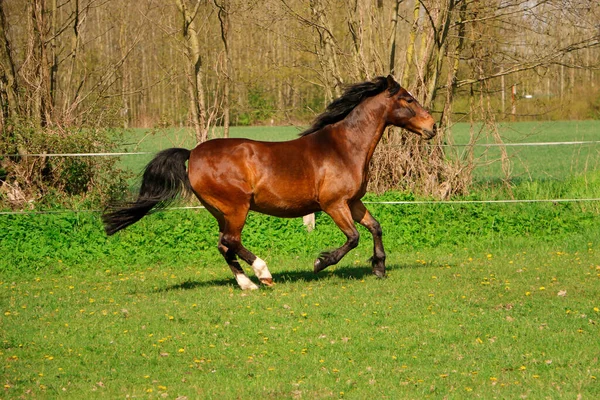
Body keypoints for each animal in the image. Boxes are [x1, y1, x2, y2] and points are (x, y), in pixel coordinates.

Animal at [104, 75, 436, 290]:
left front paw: (379, 267)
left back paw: (247, 284)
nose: (432, 127)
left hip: (220, 211)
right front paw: (320, 262)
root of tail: (192, 153)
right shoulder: (333, 204)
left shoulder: (352, 202)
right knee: (232, 241)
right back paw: (263, 274)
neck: (344, 148)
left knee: (224, 245)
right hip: (236, 207)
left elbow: (375, 227)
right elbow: (353, 237)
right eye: (408, 98)